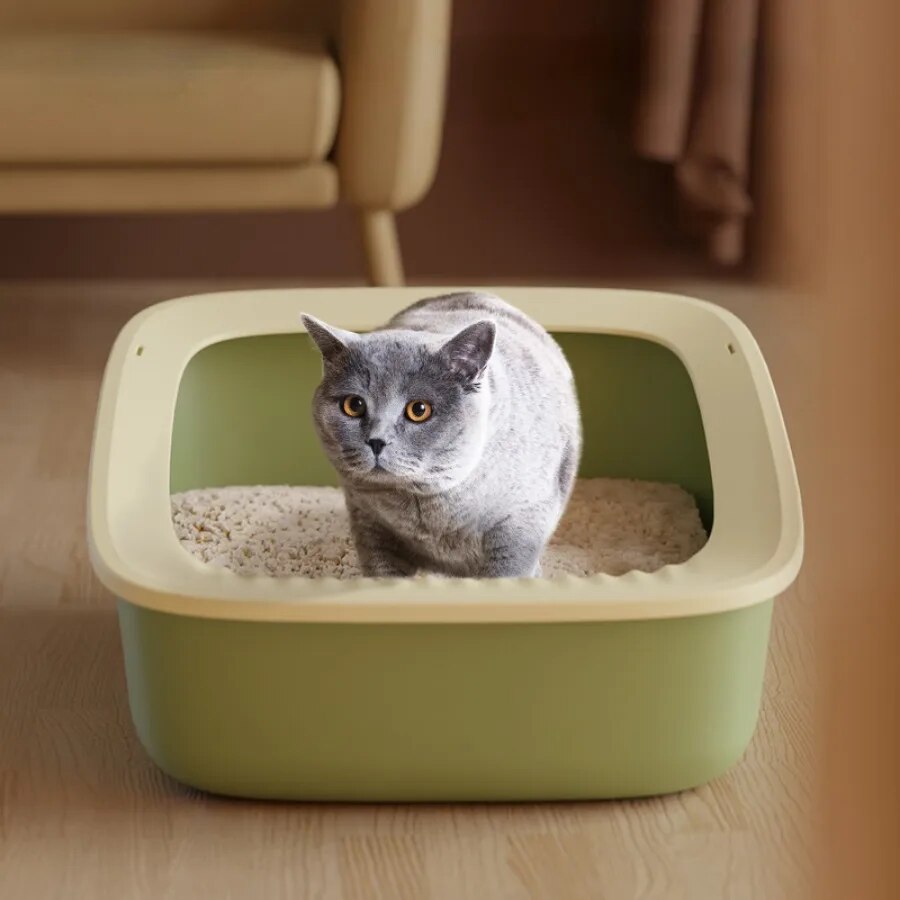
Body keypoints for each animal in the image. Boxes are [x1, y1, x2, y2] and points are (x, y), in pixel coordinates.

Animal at [300, 292, 584, 580]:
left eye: (419, 410)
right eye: (353, 405)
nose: (376, 441)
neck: (428, 505)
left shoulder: (521, 521)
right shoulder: (369, 523)